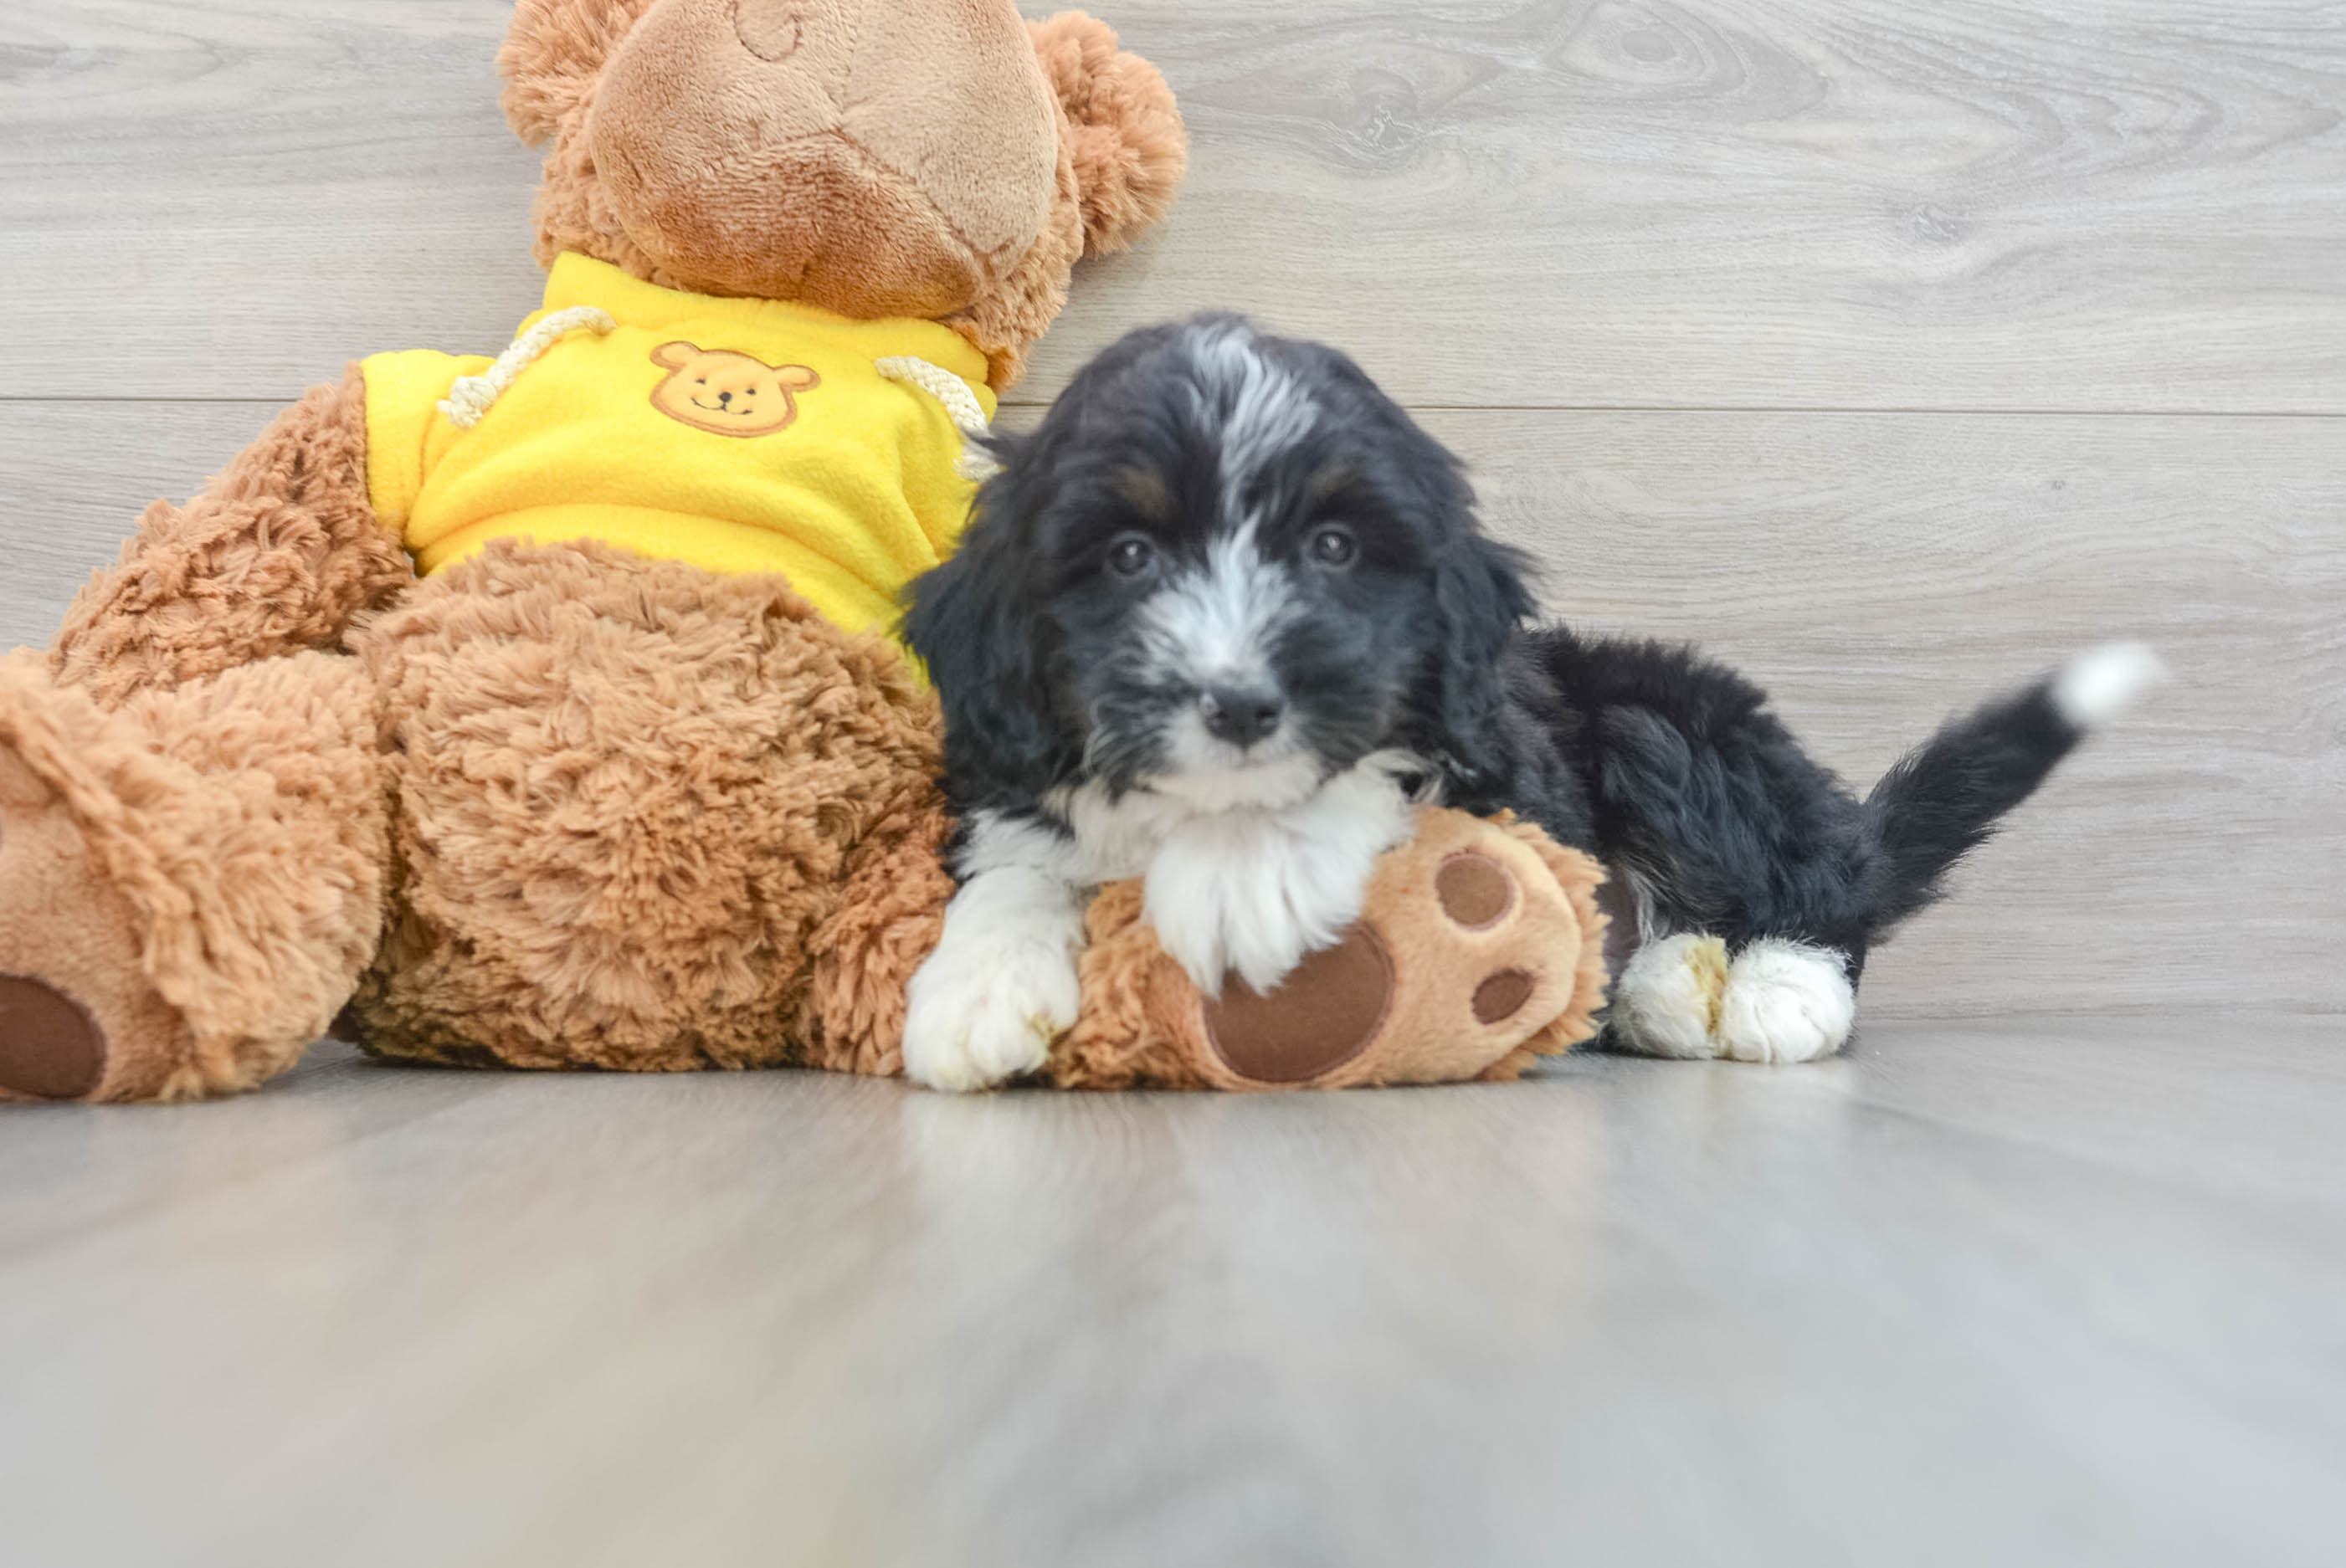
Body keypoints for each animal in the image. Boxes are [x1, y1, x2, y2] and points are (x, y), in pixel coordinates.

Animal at [891, 318, 2158, 1087]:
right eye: (1129, 555)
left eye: (1336, 547)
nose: (1241, 704)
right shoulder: (1018, 757)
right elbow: (1018, 860)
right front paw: (974, 990)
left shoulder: (1488, 746)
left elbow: (1371, 774)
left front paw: (1247, 880)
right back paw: (1661, 989)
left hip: (1659, 723)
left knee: (1821, 883)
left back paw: (1773, 988)